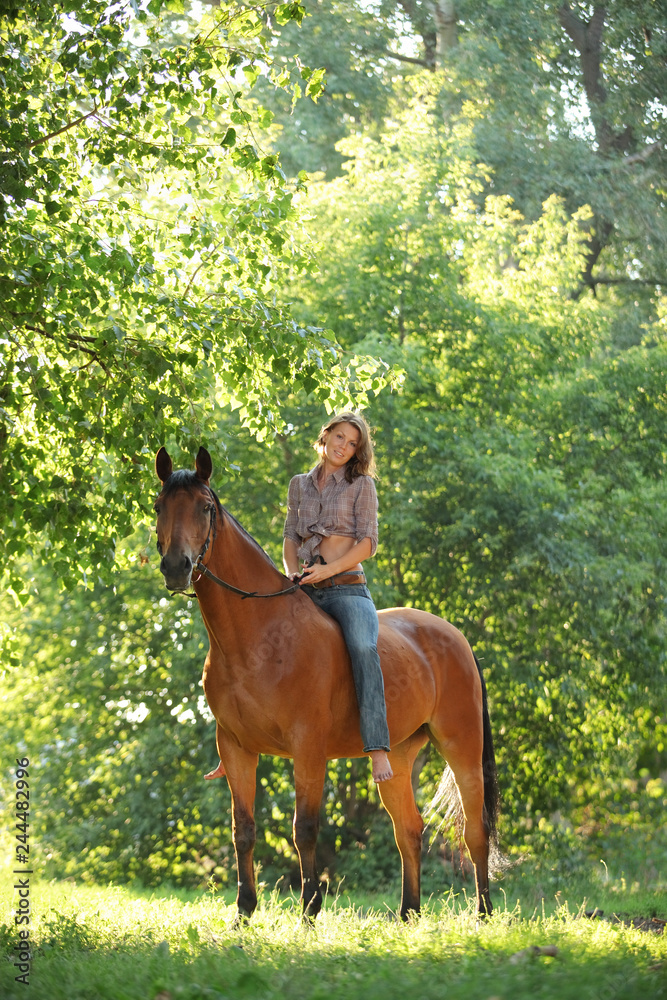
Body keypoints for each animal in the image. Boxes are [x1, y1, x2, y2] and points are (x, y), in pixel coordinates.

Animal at [154, 446, 500, 921]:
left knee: (475, 831)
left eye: (205, 507)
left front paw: (309, 911)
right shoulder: (235, 747)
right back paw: (408, 914)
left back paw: (482, 914)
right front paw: (244, 913)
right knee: (409, 830)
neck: (260, 637)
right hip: (397, 758)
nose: (176, 567)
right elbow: (243, 829)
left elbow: (305, 829)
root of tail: (458, 639)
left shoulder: (307, 748)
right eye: (158, 507)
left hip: (461, 747)